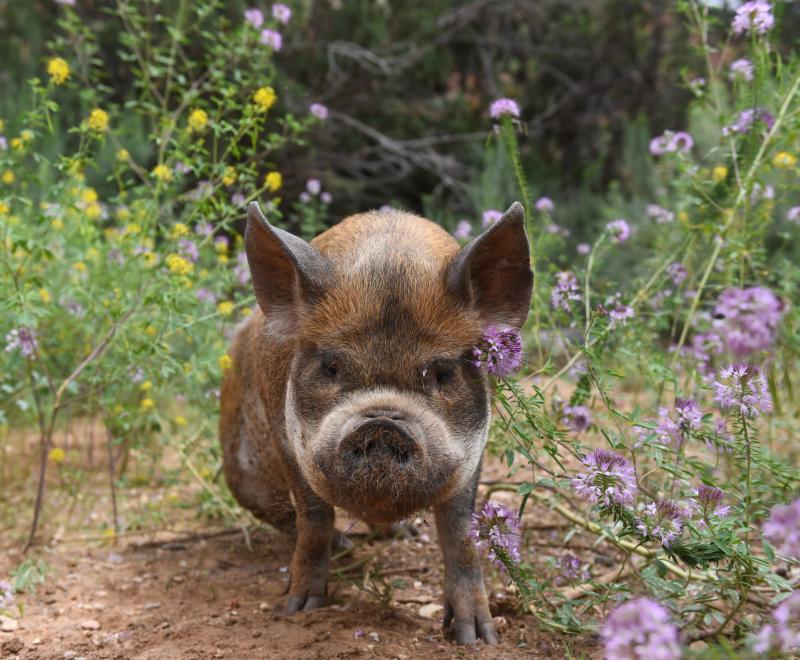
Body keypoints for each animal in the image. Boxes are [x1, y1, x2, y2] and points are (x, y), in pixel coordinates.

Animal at [220, 201, 532, 644]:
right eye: (331, 367)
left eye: (442, 373)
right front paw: (299, 608)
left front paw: (477, 638)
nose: (382, 423)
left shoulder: (473, 453)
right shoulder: (287, 442)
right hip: (242, 474)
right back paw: (346, 549)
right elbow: (313, 517)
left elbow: (459, 532)